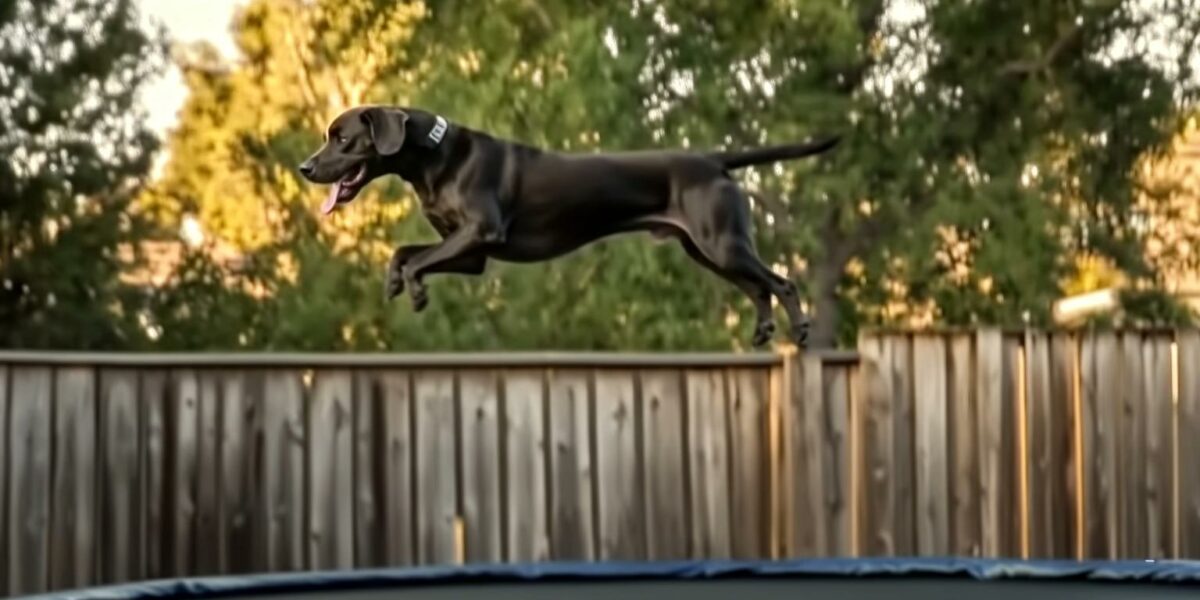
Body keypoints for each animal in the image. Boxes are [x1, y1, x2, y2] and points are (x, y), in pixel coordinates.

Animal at [298, 105, 840, 345]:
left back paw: (801, 328)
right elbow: (405, 253)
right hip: (707, 249)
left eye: (342, 138)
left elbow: (418, 262)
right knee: (758, 288)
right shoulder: (469, 253)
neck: (434, 157)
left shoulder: (479, 234)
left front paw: (414, 292)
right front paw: (395, 281)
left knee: (781, 282)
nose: (305, 167)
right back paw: (764, 330)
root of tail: (714, 159)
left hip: (722, 242)